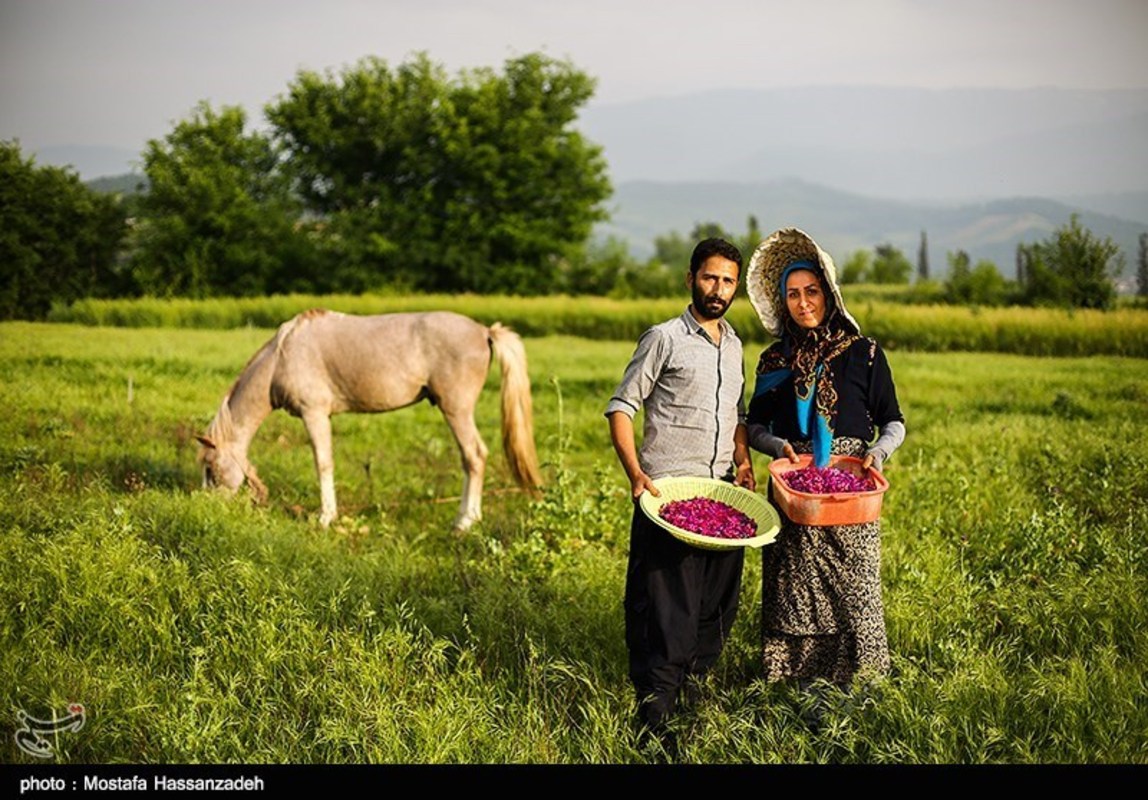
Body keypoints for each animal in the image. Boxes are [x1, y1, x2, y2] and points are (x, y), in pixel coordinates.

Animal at [195, 307, 539, 530]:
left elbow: (323, 463)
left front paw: (325, 517)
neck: (282, 357)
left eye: (211, 469)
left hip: (457, 410)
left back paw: (465, 521)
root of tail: (484, 331)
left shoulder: (314, 413)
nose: (207, 510)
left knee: (474, 456)